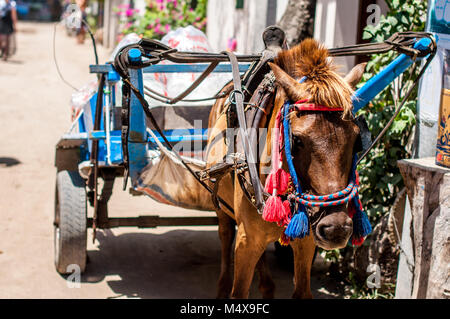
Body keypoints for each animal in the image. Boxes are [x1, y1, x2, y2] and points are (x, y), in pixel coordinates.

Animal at [206, 38, 368, 300]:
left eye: (356, 139)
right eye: (297, 139)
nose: (336, 229)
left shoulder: (307, 240)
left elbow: (302, 291)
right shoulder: (246, 241)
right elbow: (238, 291)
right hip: (222, 208)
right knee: (225, 235)